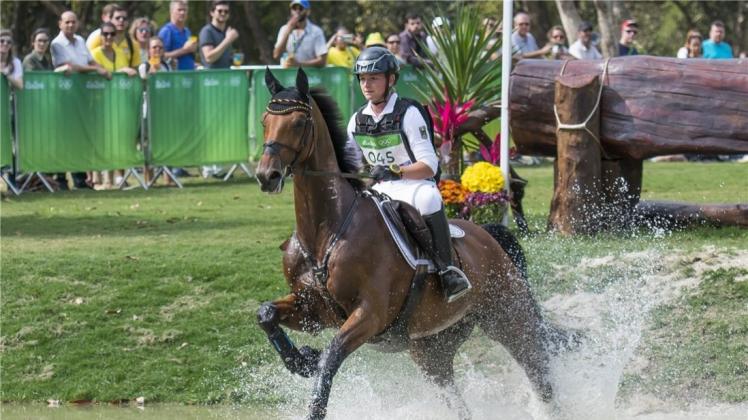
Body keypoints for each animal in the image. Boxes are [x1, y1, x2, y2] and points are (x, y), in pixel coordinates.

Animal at [254, 67, 576, 418]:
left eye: (299, 123)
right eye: (265, 121)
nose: (266, 176)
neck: (326, 233)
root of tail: (489, 236)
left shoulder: (371, 315)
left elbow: (331, 356)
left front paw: (313, 378)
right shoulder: (314, 310)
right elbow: (266, 314)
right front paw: (300, 360)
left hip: (508, 317)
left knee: (538, 371)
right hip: (432, 347)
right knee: (456, 398)